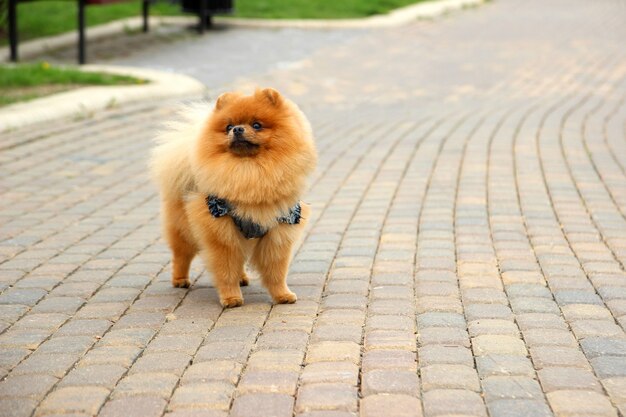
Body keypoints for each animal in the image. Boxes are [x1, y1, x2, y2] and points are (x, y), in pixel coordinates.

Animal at [150, 88, 316, 308]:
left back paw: (242, 278)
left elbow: (276, 271)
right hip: (184, 229)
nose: (236, 129)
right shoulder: (220, 233)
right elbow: (226, 269)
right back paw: (180, 280)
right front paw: (231, 298)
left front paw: (282, 295)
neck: (247, 170)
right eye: (228, 126)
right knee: (181, 255)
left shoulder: (278, 231)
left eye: (257, 125)